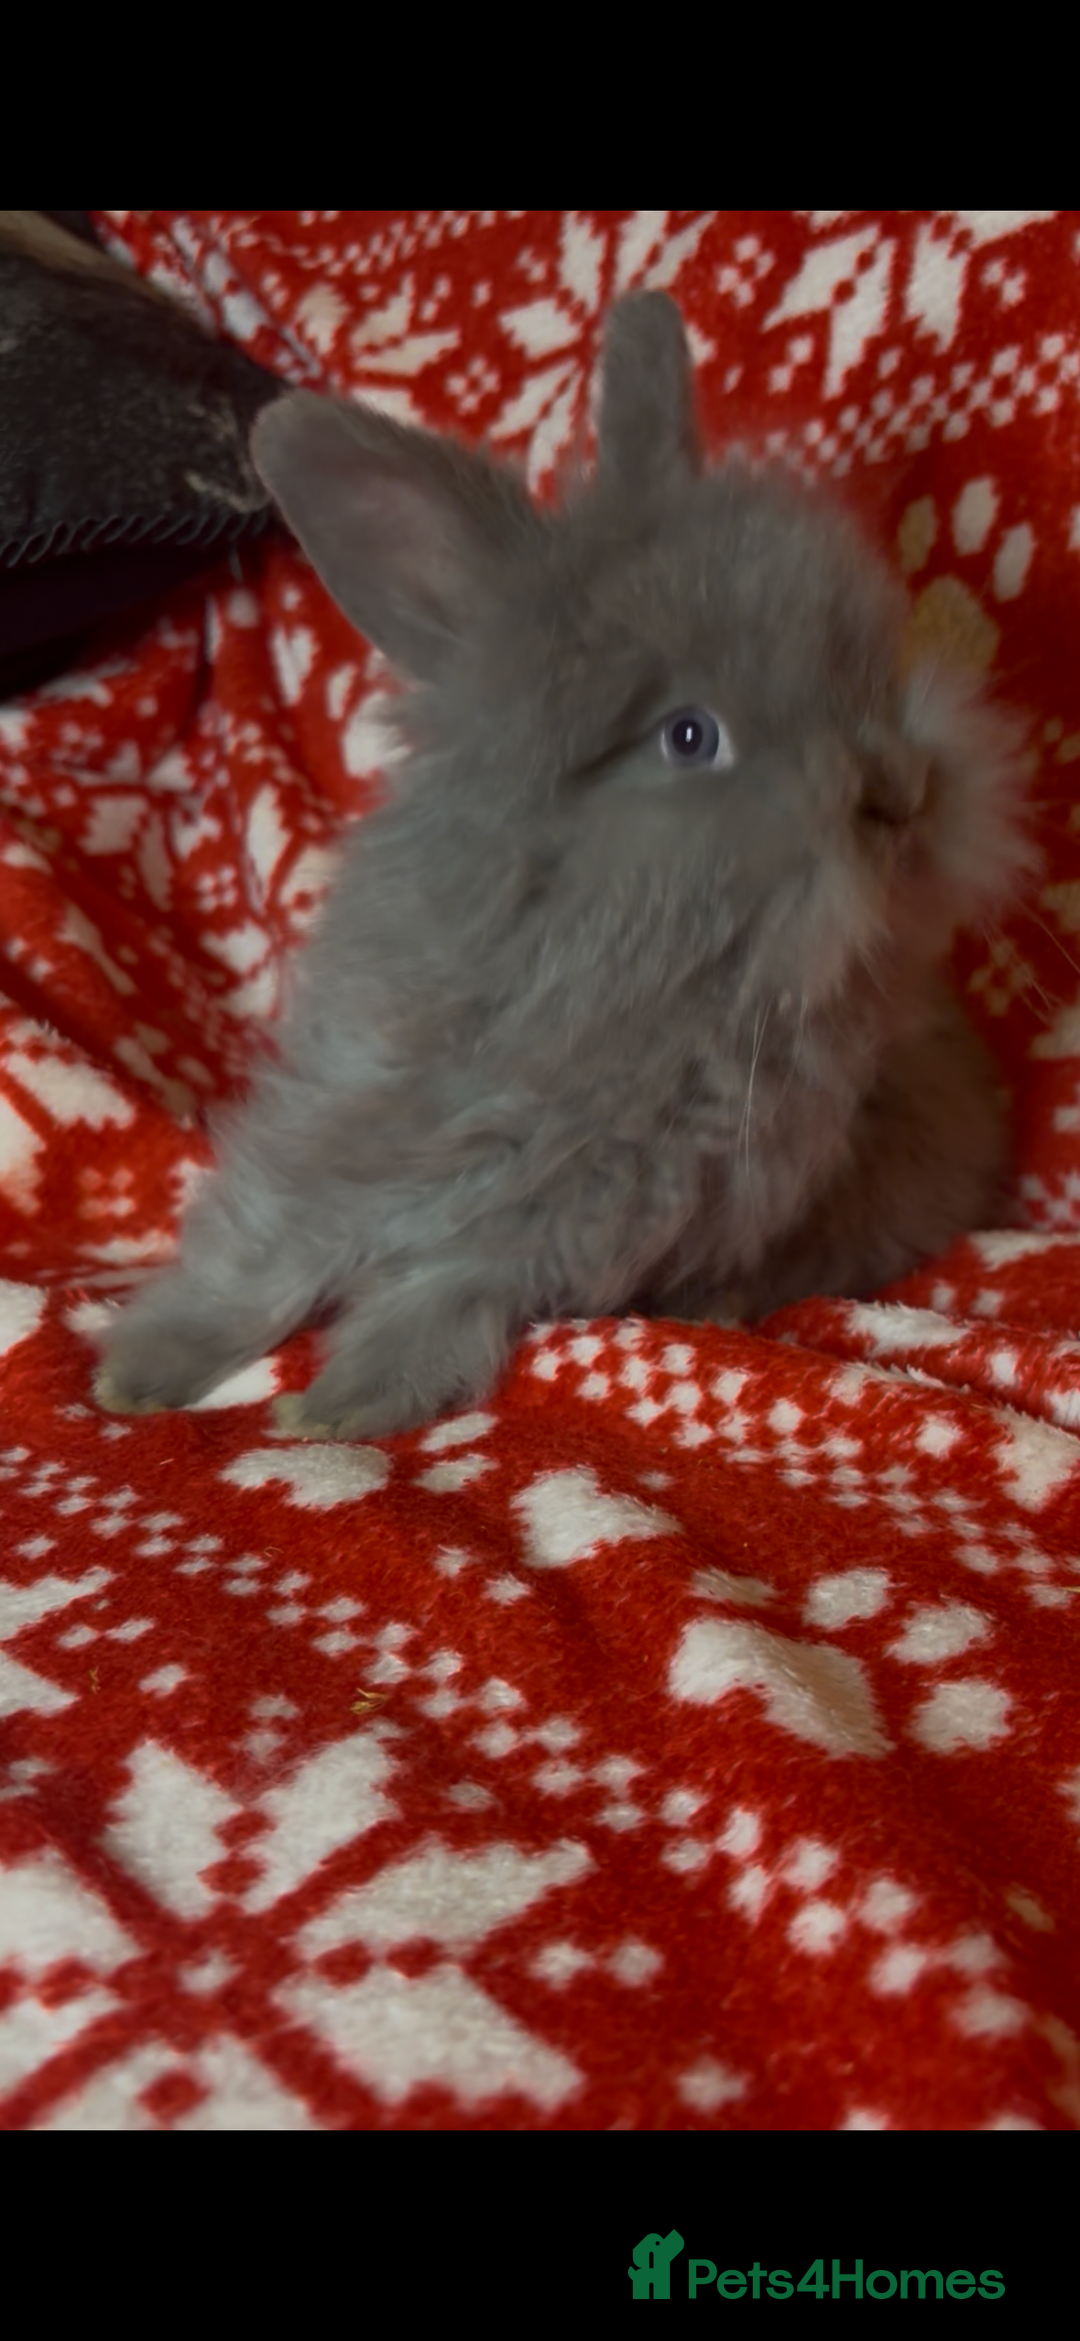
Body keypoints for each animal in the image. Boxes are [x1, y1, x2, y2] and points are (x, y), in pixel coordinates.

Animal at [93, 291, 1033, 1442]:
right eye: (689, 737)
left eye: (868, 671)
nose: (902, 792)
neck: (592, 965)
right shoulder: (338, 1128)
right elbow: (262, 1252)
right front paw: (137, 1371)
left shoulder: (555, 1230)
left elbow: (438, 1297)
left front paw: (339, 1406)